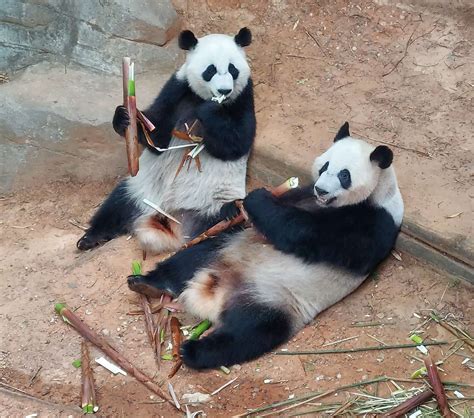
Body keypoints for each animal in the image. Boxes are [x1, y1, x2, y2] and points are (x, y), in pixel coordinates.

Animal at [78, 28, 256, 255]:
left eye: (233, 70)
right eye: (210, 70)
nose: (224, 91)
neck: (200, 98)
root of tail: (174, 221)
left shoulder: (243, 97)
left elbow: (236, 143)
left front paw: (211, 111)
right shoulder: (177, 89)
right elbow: (157, 136)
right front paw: (125, 117)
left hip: (216, 205)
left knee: (223, 227)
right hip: (141, 190)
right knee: (116, 205)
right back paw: (90, 239)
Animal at [126, 122, 404, 368]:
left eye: (344, 175)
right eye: (325, 166)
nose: (321, 190)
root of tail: (217, 290)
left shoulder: (375, 223)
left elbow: (304, 233)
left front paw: (256, 199)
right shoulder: (303, 194)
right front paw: (232, 209)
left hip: (277, 301)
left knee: (248, 333)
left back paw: (193, 351)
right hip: (224, 247)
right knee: (189, 260)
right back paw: (146, 283)